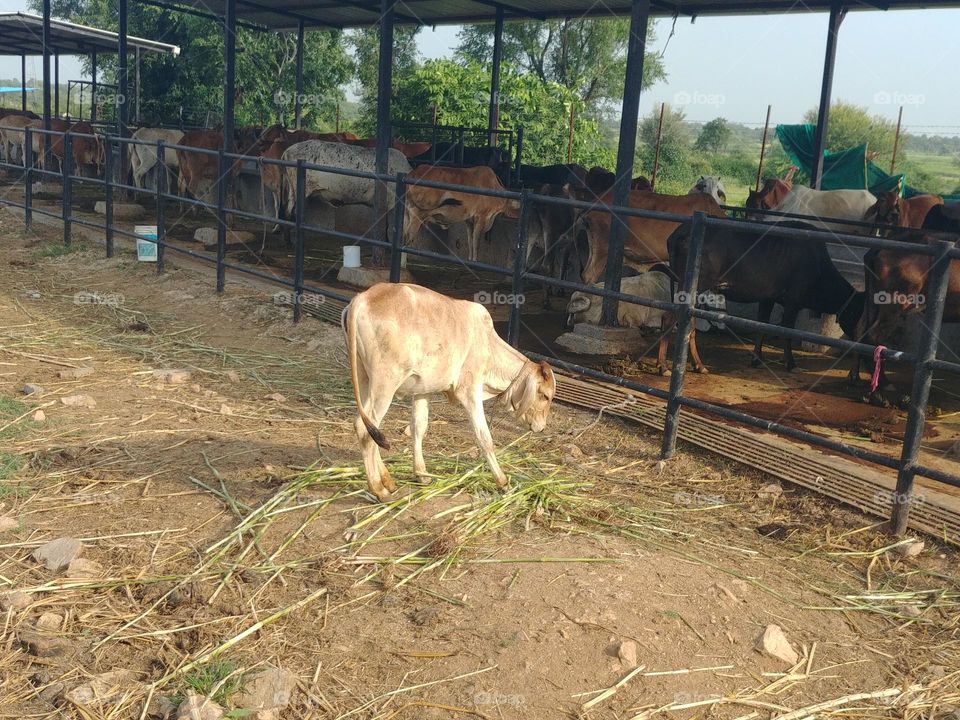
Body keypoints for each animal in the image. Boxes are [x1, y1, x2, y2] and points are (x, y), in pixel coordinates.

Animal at [280, 140, 411, 221]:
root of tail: (286, 151)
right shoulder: (388, 202)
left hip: (292, 188)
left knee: (288, 210)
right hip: (303, 189)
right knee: (295, 211)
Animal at [343, 282, 556, 502]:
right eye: (546, 396)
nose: (542, 427)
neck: (489, 346)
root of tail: (363, 298)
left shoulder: (423, 391)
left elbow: (419, 427)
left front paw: (422, 474)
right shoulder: (470, 390)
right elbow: (484, 437)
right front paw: (503, 482)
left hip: (365, 379)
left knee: (370, 428)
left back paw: (388, 481)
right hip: (385, 384)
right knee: (364, 427)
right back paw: (379, 489)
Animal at [657, 220, 865, 375]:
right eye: (857, 313)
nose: (861, 340)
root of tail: (677, 235)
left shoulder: (768, 298)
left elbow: (762, 325)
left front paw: (757, 358)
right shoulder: (794, 300)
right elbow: (787, 330)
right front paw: (791, 363)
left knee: (685, 321)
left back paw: (697, 365)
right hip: (695, 284)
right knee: (670, 318)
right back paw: (665, 366)